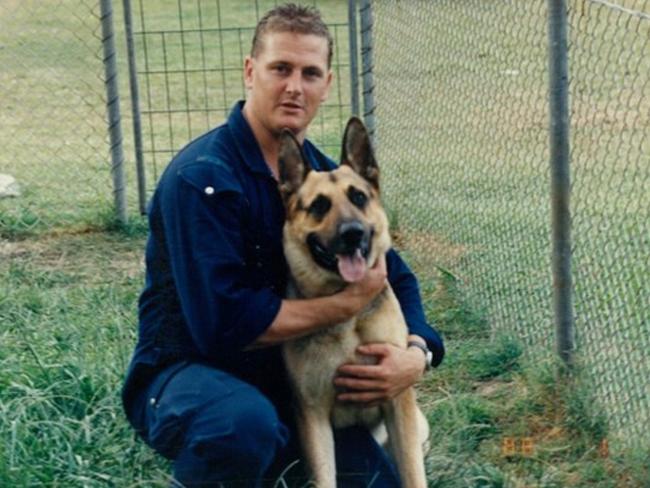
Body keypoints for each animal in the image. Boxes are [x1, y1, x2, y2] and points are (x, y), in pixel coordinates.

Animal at [276, 118, 428, 488]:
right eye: (319, 206)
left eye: (358, 197)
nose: (353, 233)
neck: (348, 314)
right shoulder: (312, 415)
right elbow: (324, 477)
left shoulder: (397, 400)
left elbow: (413, 474)